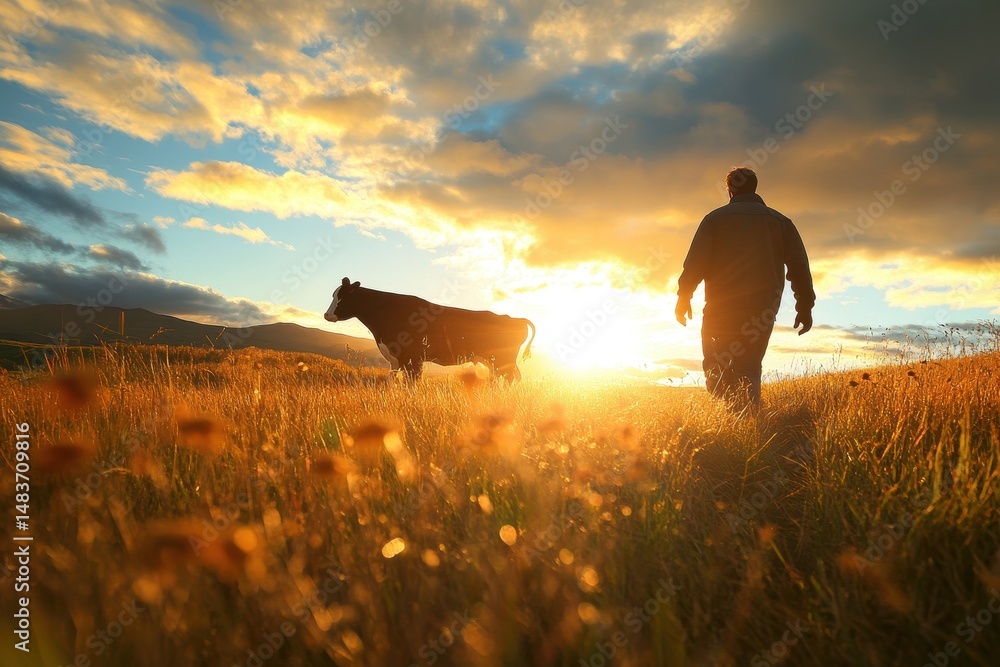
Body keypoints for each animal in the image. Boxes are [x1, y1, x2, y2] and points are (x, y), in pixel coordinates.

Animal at [323, 278, 536, 380]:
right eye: (334, 295)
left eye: (344, 296)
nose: (326, 315)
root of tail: (514, 318)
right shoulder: (396, 359)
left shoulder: (412, 358)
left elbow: (412, 383)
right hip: (497, 361)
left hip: (502, 360)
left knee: (509, 378)